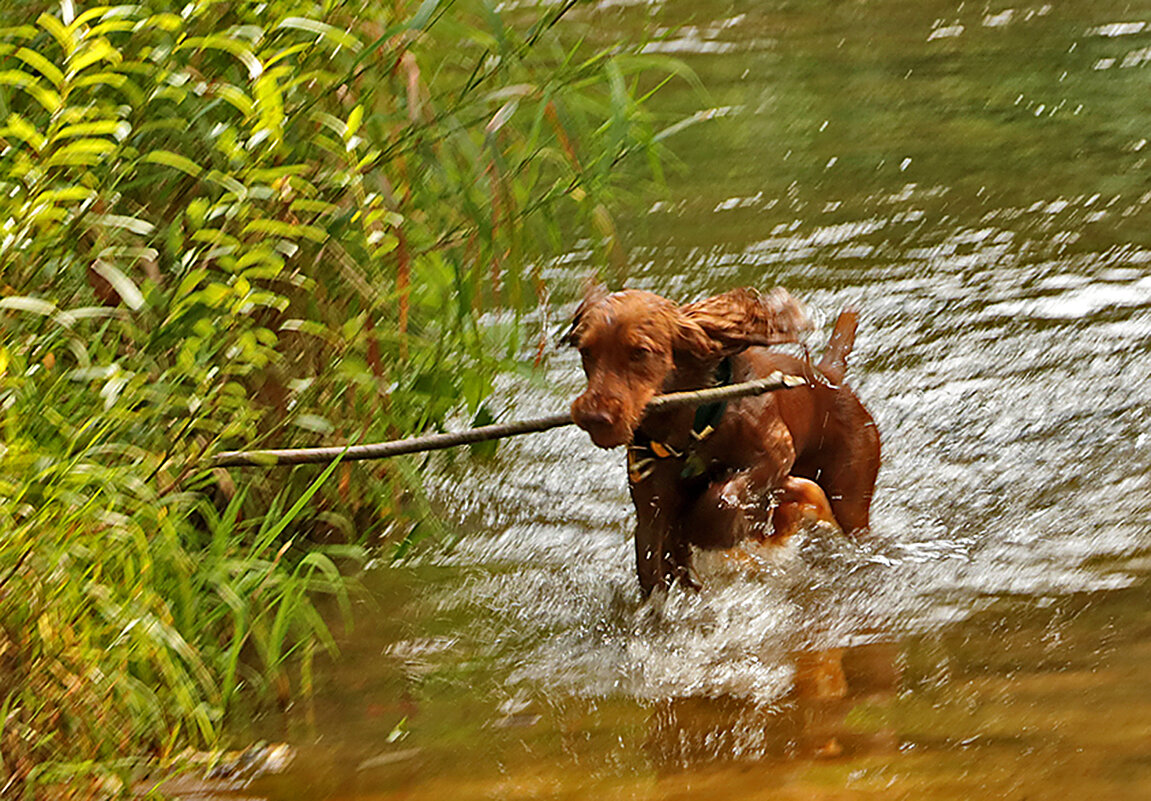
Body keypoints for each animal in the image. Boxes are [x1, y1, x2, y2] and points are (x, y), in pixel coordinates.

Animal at [566, 284, 879, 589]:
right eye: (586, 351)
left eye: (640, 351)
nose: (594, 417)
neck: (690, 427)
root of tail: (829, 373)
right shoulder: (651, 514)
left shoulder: (776, 453)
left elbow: (721, 499)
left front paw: (710, 527)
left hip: (850, 497)